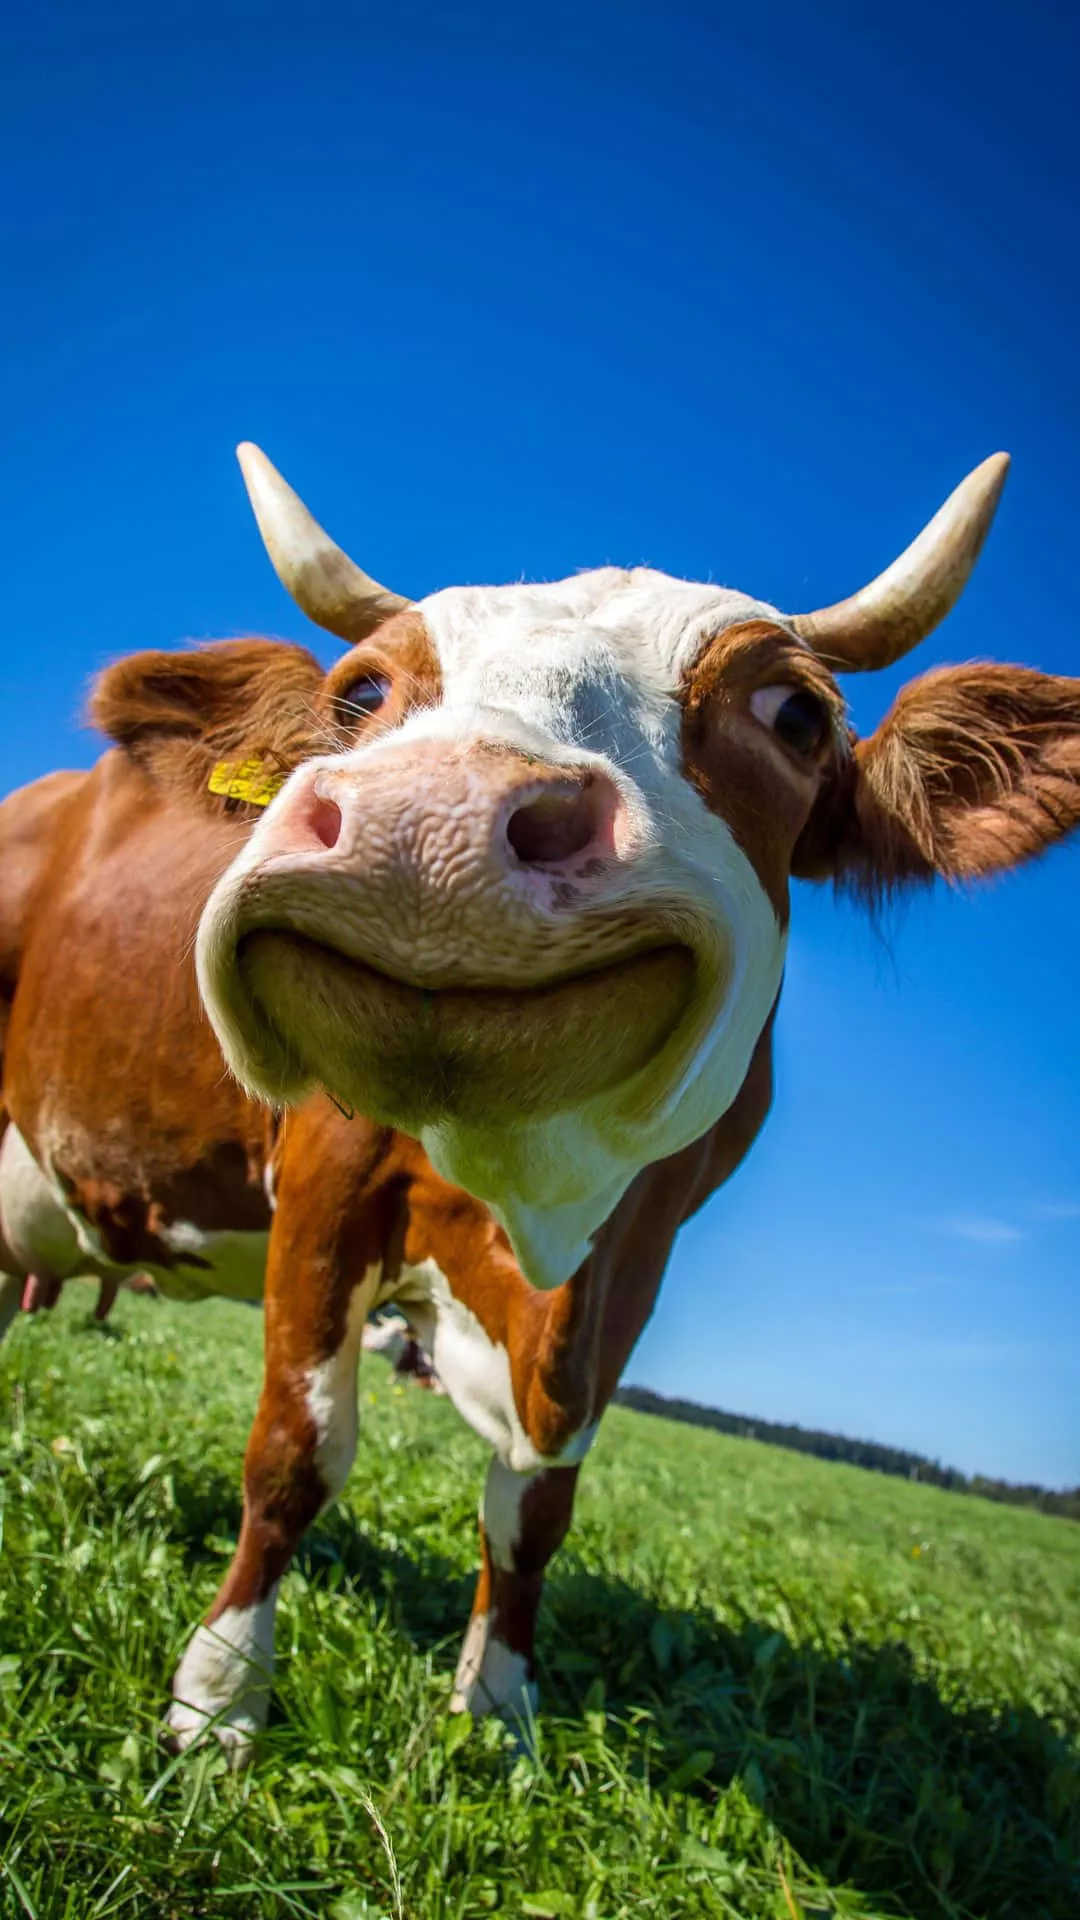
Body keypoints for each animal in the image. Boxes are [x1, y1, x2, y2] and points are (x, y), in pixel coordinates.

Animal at [1, 443, 1077, 1765]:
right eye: (361, 694)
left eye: (795, 715)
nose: (431, 821)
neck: (531, 1202)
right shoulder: (325, 1180)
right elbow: (297, 1454)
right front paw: (219, 1699)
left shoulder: (639, 1252)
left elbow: (538, 1503)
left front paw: (497, 1711)